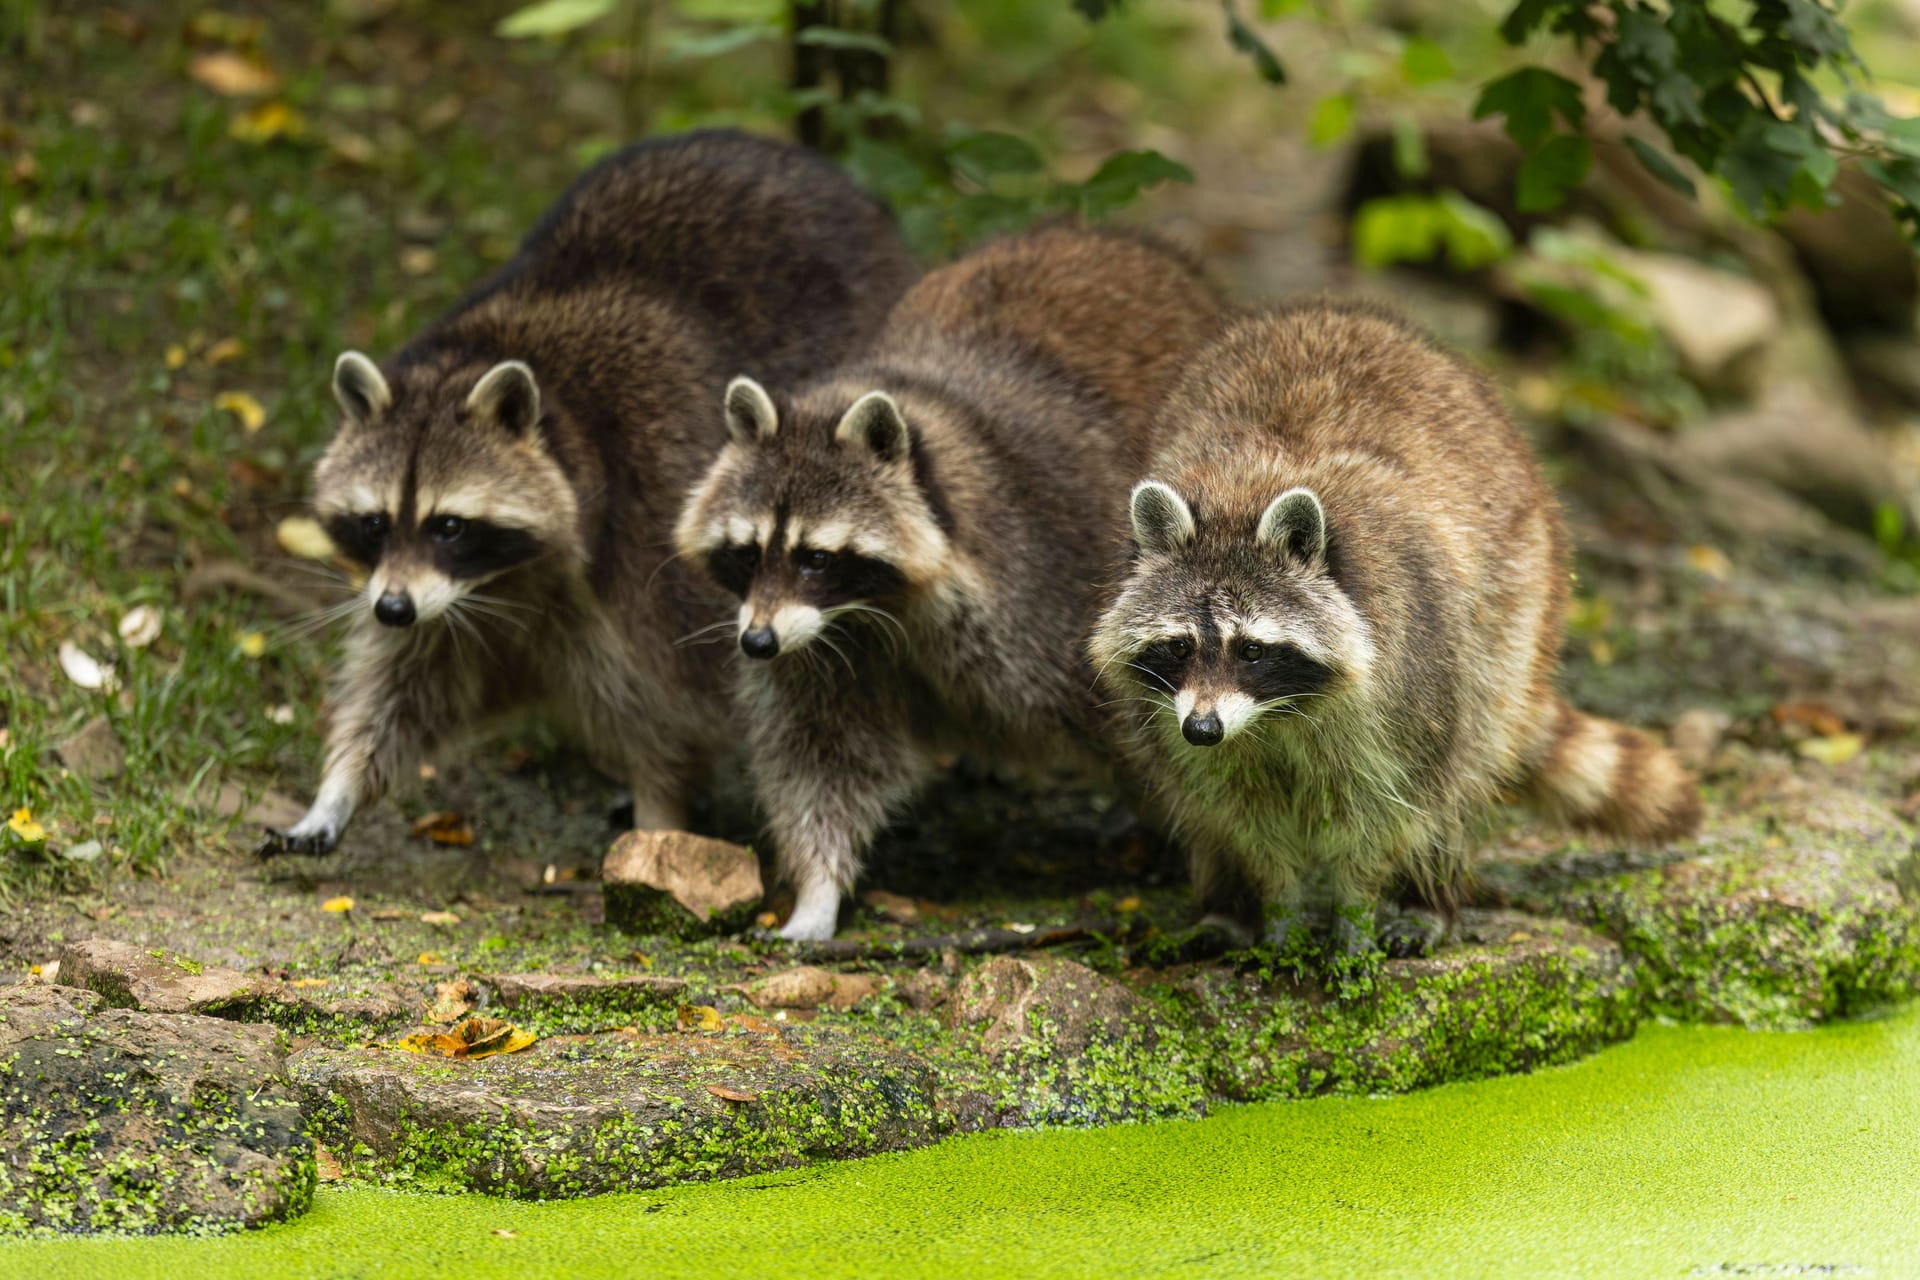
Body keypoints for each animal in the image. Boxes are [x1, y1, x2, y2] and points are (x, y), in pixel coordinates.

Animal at [259, 130, 917, 859]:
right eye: (374, 523)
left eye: (449, 525)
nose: (392, 609)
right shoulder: (447, 604)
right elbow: (405, 687)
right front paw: (338, 789)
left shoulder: (654, 530)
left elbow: (673, 704)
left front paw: (662, 818)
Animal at [679, 225, 1213, 936]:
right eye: (747, 552)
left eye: (815, 558)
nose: (756, 645)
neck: (880, 604)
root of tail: (1100, 234)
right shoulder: (823, 647)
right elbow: (821, 755)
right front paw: (818, 889)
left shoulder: (1047, 590)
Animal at [1090, 301, 1704, 959]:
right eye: (1180, 645)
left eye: (1251, 649)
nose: (1203, 728)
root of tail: (1333, 313)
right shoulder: (1177, 720)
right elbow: (1239, 816)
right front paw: (1275, 913)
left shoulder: (1410, 670)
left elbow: (1386, 810)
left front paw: (1355, 915)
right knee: (1205, 814)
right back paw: (1224, 907)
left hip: (1514, 608)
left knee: (1460, 770)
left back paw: (1426, 895)